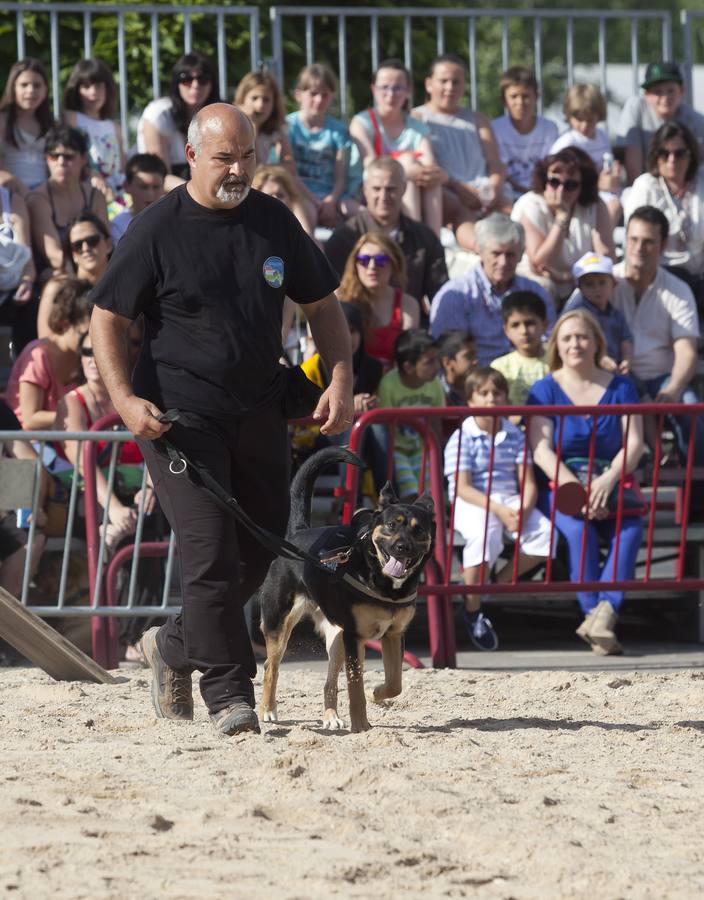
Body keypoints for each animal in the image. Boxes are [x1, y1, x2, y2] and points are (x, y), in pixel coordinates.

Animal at [258, 446, 434, 736]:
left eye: (419, 529)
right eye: (391, 525)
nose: (402, 547)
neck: (383, 582)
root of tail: (297, 535)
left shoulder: (393, 635)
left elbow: (394, 682)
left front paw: (377, 693)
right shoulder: (356, 637)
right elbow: (355, 686)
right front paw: (361, 725)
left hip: (337, 637)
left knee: (329, 682)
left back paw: (331, 717)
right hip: (280, 626)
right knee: (270, 667)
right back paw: (268, 710)